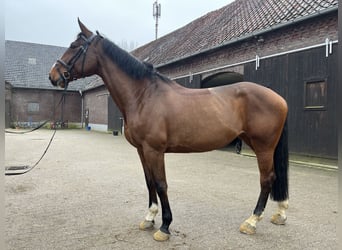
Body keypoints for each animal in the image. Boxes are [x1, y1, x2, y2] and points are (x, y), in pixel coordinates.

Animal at [48, 19, 288, 242]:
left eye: (74, 46)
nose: (53, 75)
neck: (144, 96)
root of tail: (279, 98)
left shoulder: (154, 150)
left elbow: (161, 184)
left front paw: (164, 227)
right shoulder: (142, 150)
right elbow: (149, 182)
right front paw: (149, 218)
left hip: (263, 147)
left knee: (267, 179)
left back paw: (252, 221)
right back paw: (280, 214)